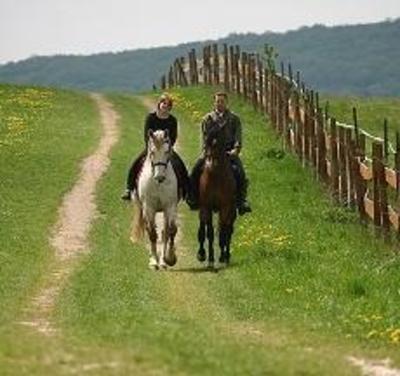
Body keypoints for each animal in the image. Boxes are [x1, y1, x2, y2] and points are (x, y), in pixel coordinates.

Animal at [133, 130, 178, 270]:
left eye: (167, 151)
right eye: (152, 152)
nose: (160, 177)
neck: (158, 183)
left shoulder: (170, 206)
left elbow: (170, 231)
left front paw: (169, 259)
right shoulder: (149, 207)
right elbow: (152, 233)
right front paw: (153, 261)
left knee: (165, 232)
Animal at [197, 128, 238, 268]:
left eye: (218, 143)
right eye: (206, 141)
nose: (210, 164)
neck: (215, 176)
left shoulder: (225, 207)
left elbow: (223, 232)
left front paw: (222, 257)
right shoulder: (207, 206)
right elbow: (209, 232)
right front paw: (210, 259)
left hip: (231, 211)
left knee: (228, 231)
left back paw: (226, 256)